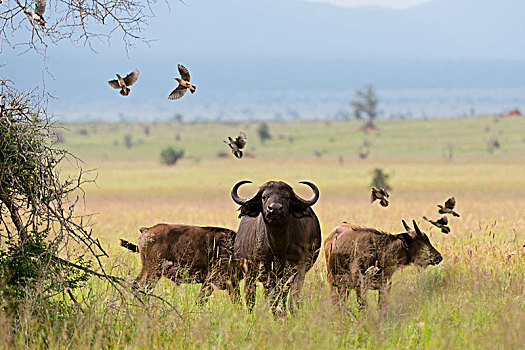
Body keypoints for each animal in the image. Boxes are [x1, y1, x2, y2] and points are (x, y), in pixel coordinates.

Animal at [231, 180, 322, 314]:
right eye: (264, 197)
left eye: (287, 197)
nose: (274, 209)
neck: (279, 247)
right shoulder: (266, 271)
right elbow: (272, 297)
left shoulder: (299, 269)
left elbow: (292, 296)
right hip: (249, 273)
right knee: (250, 295)